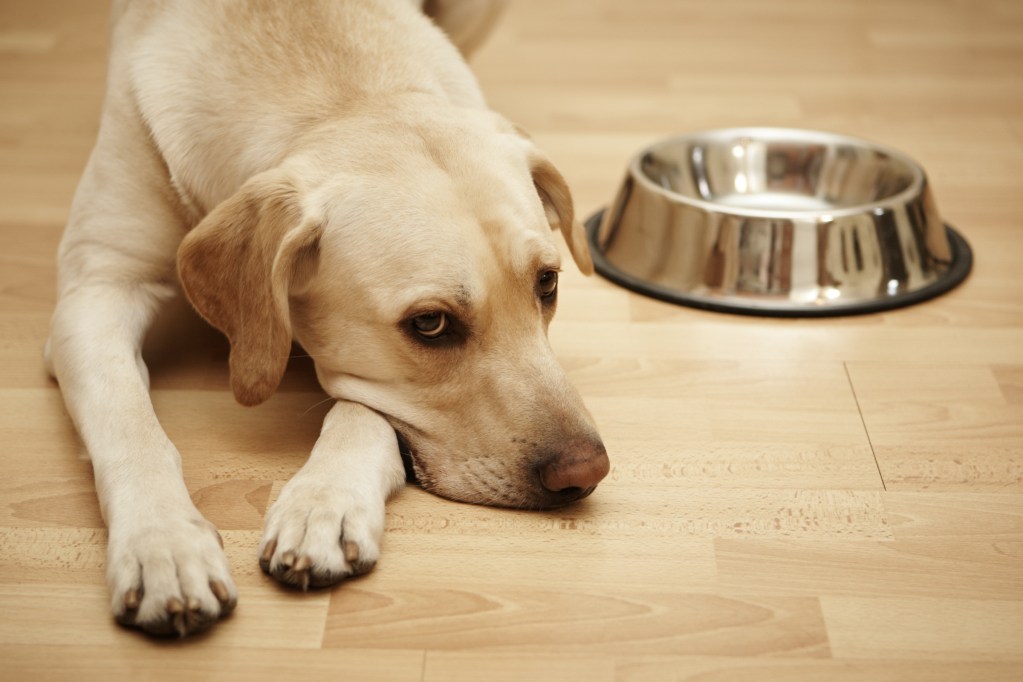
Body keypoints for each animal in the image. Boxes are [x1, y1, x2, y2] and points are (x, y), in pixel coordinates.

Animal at [46, 1, 605, 642]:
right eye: (430, 324)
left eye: (547, 283)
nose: (587, 471)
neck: (341, 94)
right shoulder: (96, 289)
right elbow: (130, 425)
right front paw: (163, 545)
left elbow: (362, 412)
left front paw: (324, 504)